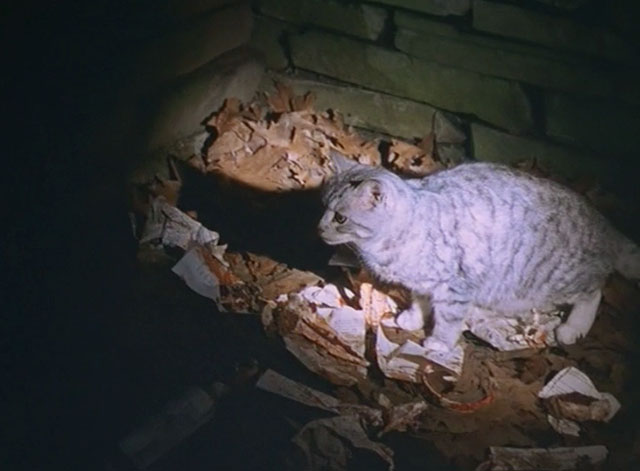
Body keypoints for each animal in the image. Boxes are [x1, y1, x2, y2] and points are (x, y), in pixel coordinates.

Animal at [320, 155, 640, 354]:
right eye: (323, 206)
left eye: (340, 218)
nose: (319, 227)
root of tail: (603, 222)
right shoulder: (424, 284)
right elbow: (420, 302)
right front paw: (412, 318)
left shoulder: (455, 287)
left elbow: (448, 319)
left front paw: (439, 342)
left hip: (557, 279)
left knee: (594, 290)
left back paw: (574, 327)